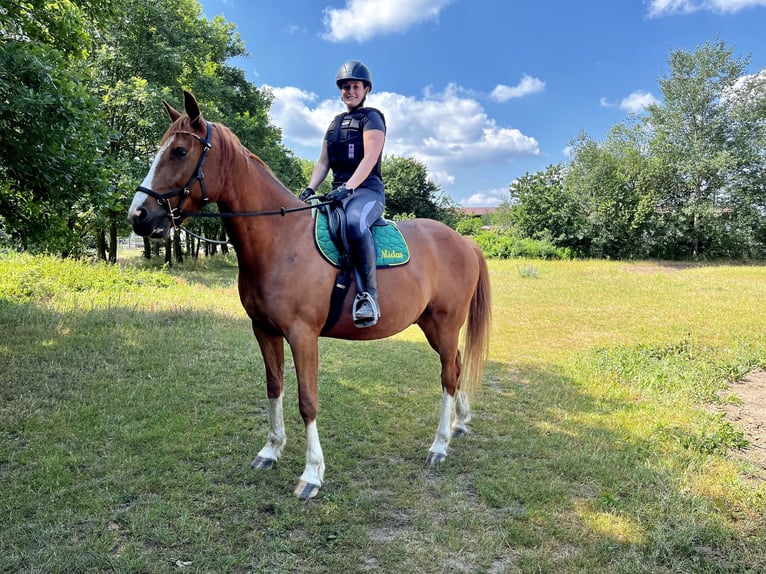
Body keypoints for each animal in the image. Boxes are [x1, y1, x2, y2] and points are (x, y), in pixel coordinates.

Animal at [129, 90, 496, 500]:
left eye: (179, 151)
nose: (139, 216)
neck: (281, 240)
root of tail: (464, 241)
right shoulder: (264, 330)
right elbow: (274, 387)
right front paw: (270, 451)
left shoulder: (303, 336)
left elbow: (307, 401)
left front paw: (311, 474)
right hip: (432, 326)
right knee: (457, 367)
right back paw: (459, 425)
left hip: (445, 325)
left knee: (448, 375)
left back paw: (439, 445)